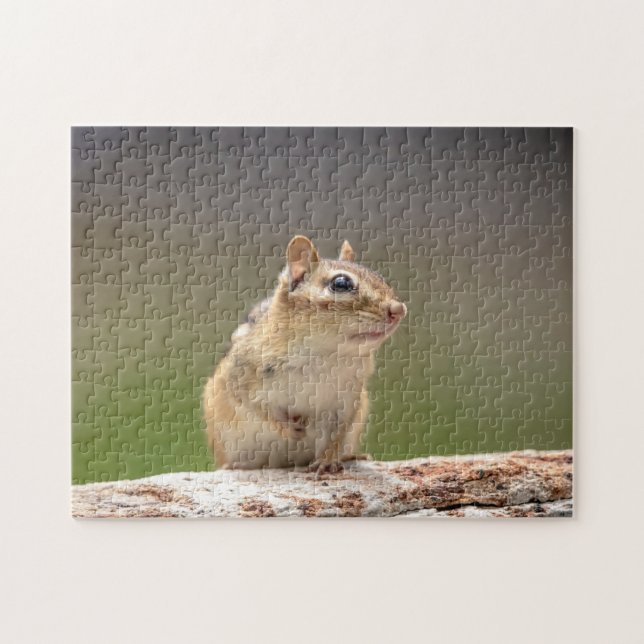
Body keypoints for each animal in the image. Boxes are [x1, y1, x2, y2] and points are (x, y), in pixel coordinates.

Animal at [202, 235, 407, 474]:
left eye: (379, 277)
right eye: (341, 284)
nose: (399, 309)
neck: (325, 356)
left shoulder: (347, 402)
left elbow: (337, 436)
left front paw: (327, 461)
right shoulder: (239, 377)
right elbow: (259, 409)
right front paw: (291, 429)